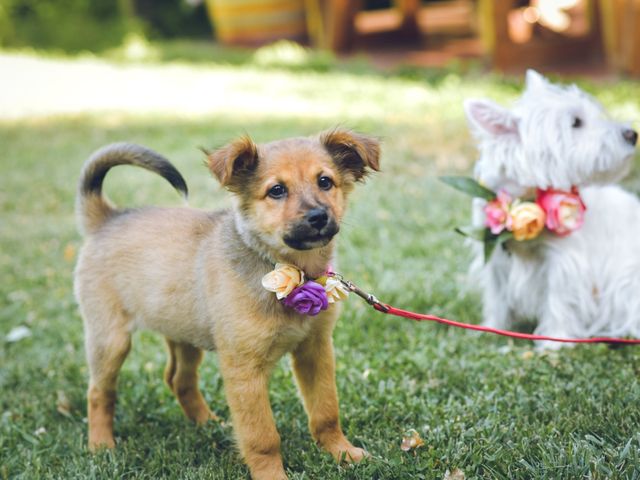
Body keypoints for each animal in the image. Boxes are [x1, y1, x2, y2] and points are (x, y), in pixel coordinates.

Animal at [74, 129, 380, 478]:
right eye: (276, 190)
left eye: (325, 181)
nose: (318, 216)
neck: (290, 269)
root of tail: (107, 218)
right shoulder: (244, 369)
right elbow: (262, 436)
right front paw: (272, 475)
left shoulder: (315, 350)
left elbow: (326, 410)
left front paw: (342, 453)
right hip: (110, 340)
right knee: (99, 392)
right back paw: (101, 445)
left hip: (183, 331)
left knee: (179, 380)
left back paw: (208, 424)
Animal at [462, 69, 636, 344]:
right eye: (576, 122)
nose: (632, 134)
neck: (521, 198)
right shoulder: (494, 252)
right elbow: (498, 296)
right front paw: (492, 329)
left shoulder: (564, 258)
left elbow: (558, 299)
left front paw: (553, 341)